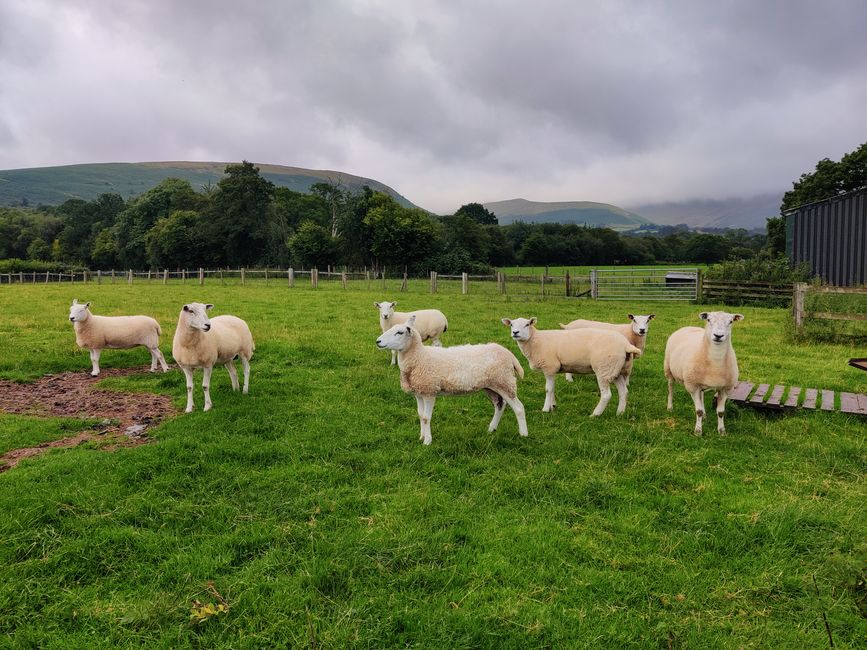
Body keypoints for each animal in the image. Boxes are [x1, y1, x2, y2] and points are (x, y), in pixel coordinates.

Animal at [378, 314, 528, 446]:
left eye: (399, 332)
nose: (377, 341)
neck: (419, 357)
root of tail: (509, 354)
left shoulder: (429, 391)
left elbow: (426, 418)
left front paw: (427, 441)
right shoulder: (419, 392)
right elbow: (420, 415)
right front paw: (421, 437)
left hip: (505, 382)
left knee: (519, 408)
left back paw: (523, 434)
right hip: (491, 386)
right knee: (499, 405)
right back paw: (492, 429)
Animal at [506, 316, 640, 416]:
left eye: (527, 324)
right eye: (511, 324)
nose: (515, 333)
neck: (536, 341)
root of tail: (626, 345)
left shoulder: (549, 367)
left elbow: (548, 389)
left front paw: (545, 409)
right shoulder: (553, 369)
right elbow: (553, 388)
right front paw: (553, 406)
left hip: (604, 368)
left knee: (606, 395)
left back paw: (595, 414)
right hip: (616, 370)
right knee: (624, 392)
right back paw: (620, 413)